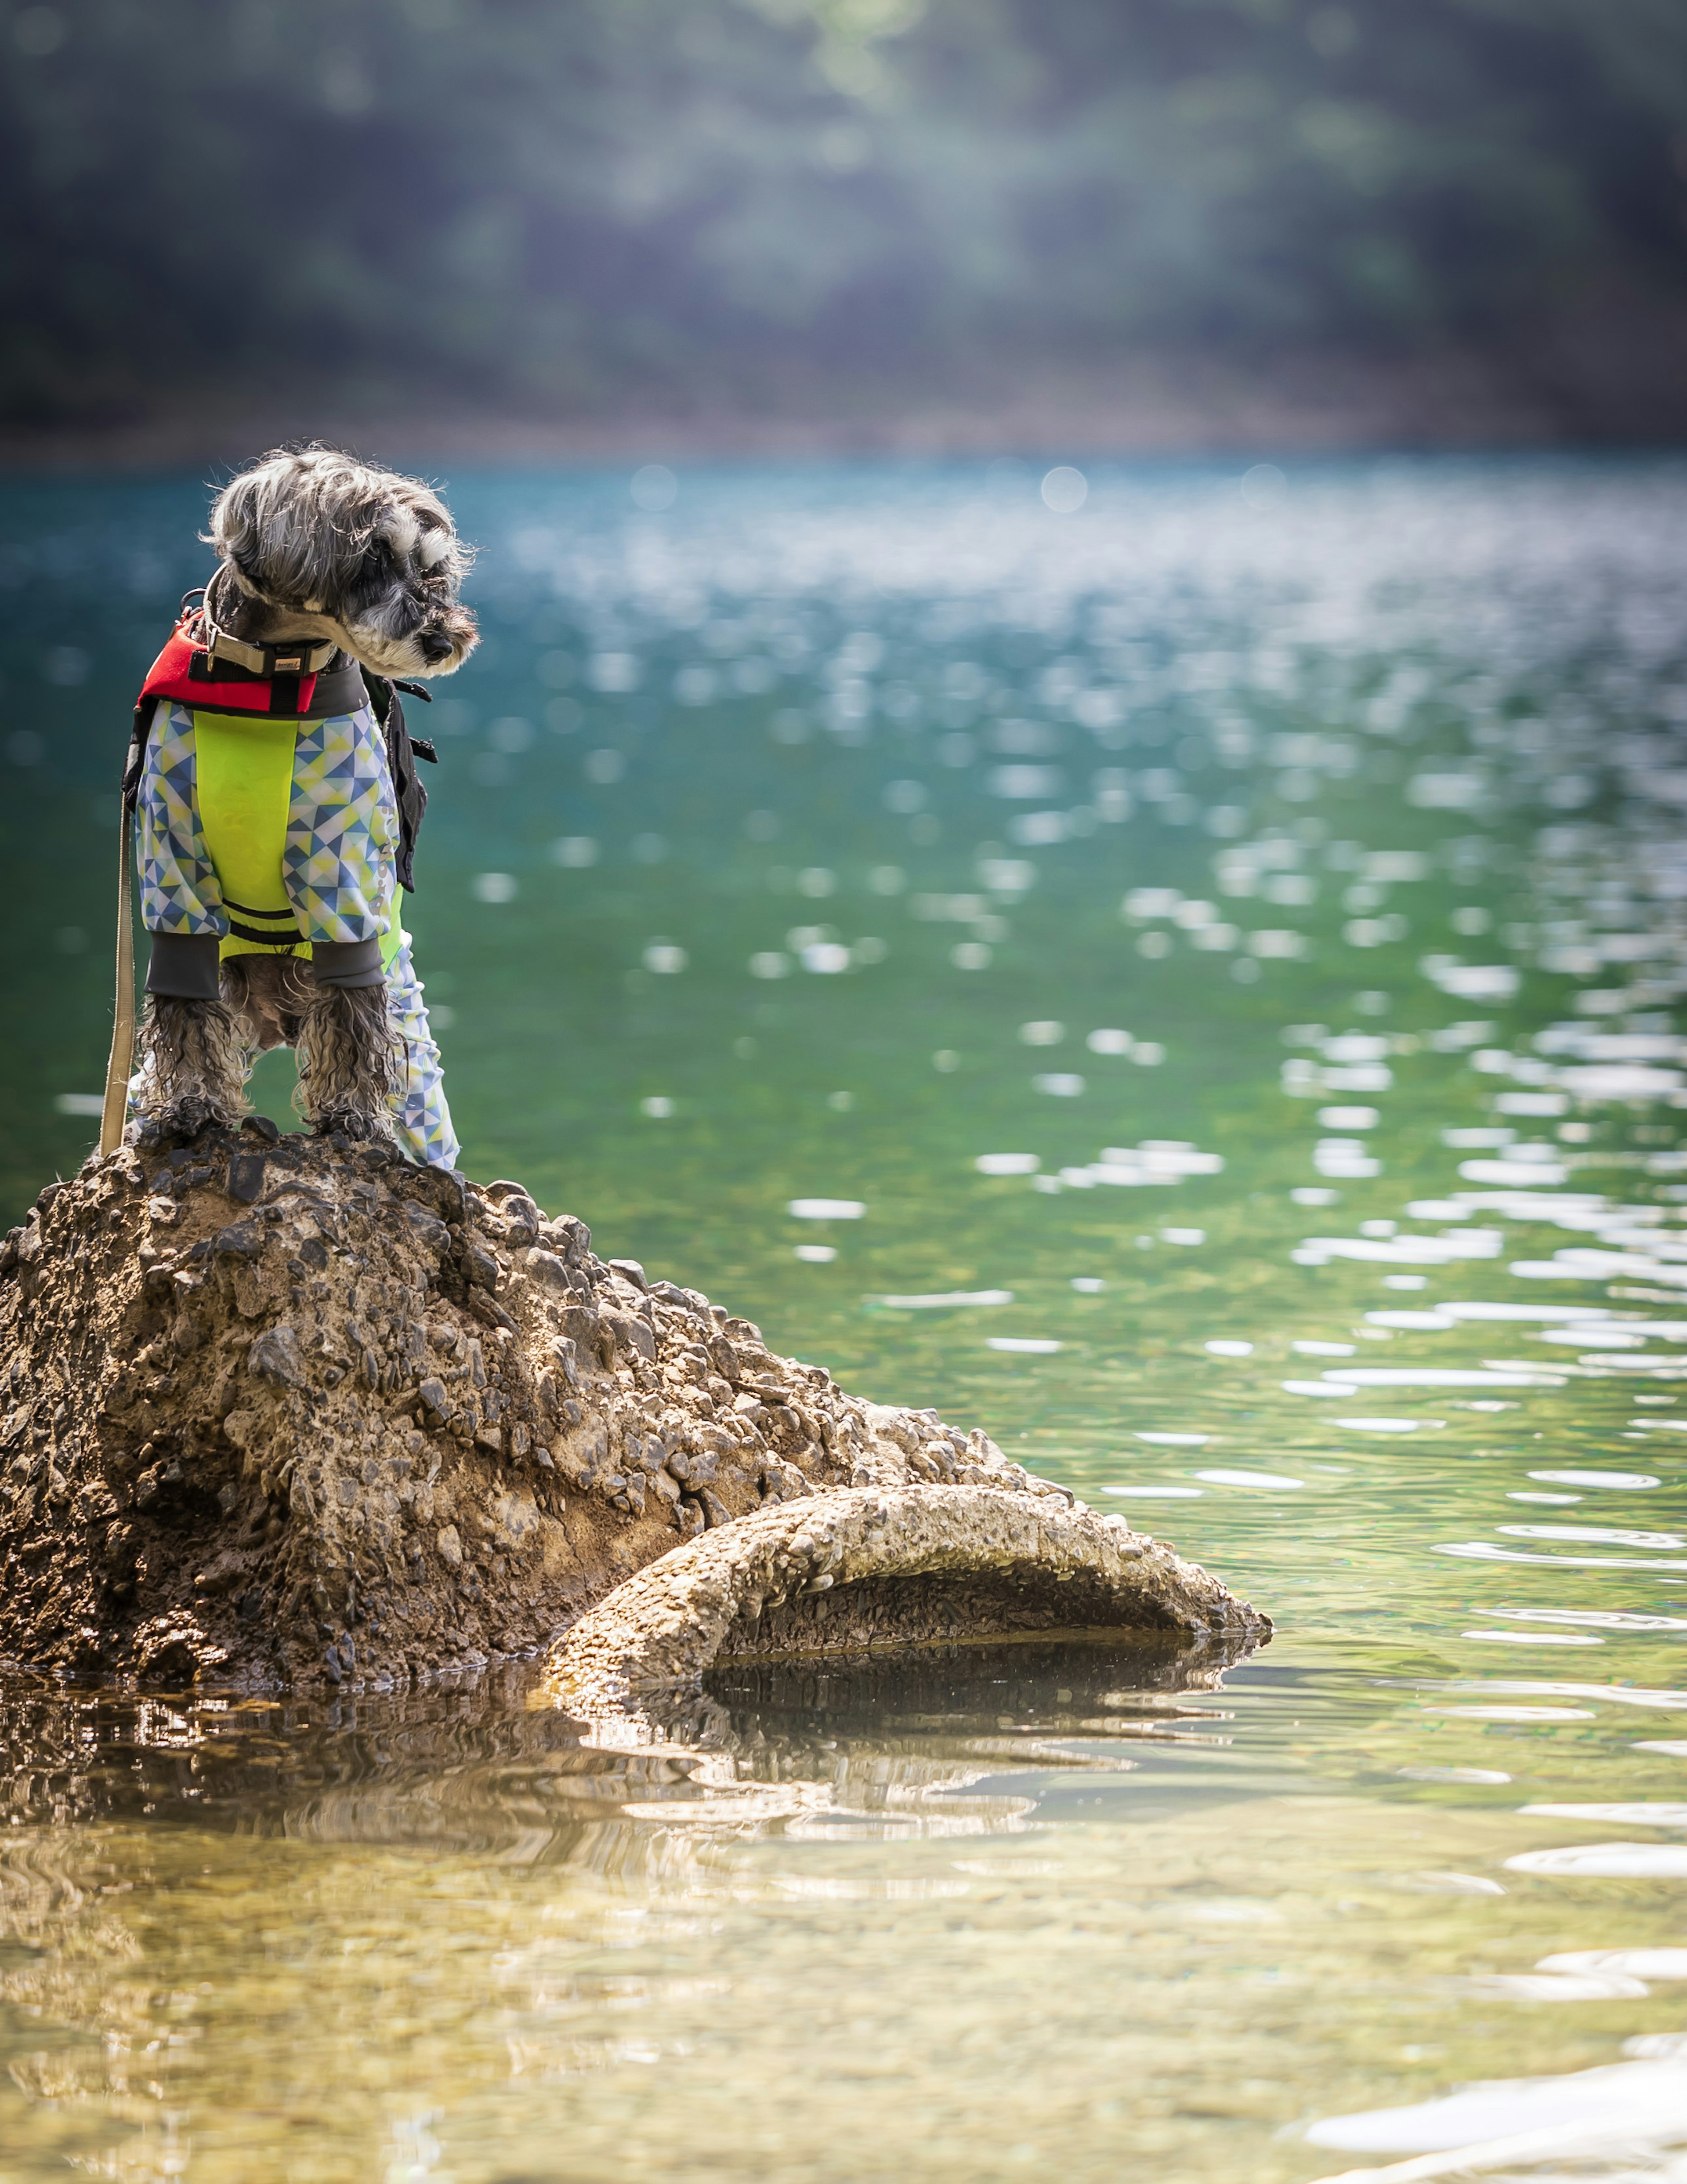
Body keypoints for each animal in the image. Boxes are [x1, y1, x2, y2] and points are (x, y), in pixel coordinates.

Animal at [125, 439, 478, 1162]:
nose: (443, 638)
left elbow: (353, 1017)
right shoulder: (173, 870)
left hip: (414, 1044)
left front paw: (353, 1119)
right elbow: (184, 1012)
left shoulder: (340, 875)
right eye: (374, 556)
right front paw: (191, 1107)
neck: (269, 683)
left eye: (431, 569)